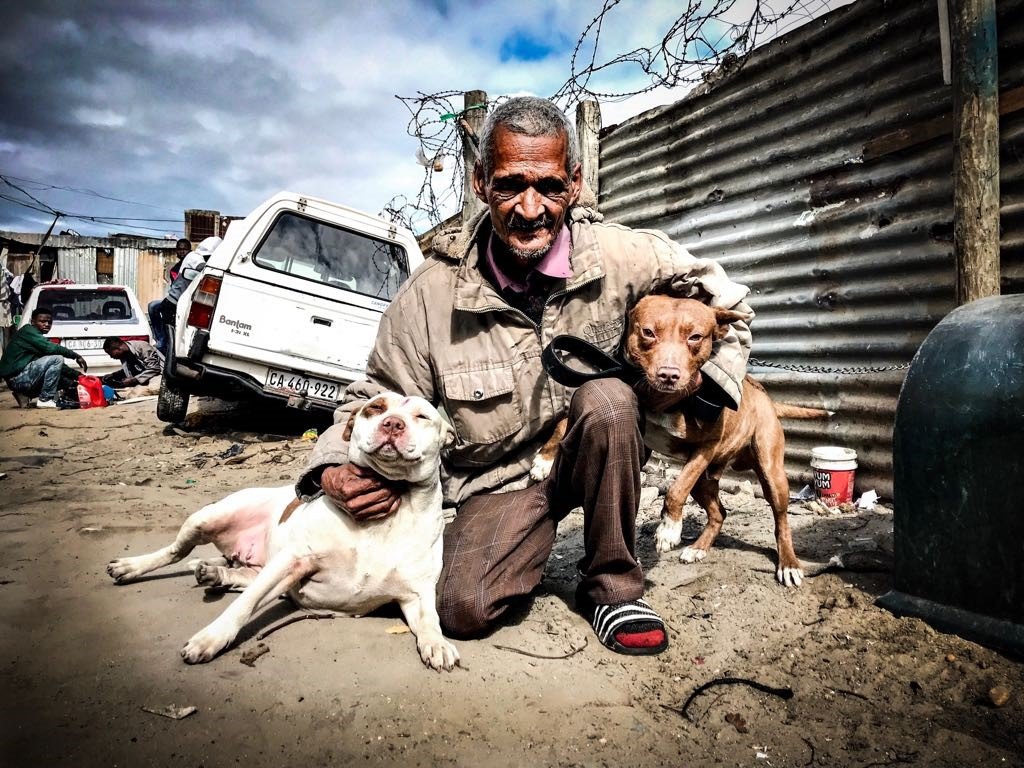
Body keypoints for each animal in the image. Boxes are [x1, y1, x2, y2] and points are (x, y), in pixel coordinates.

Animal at [105, 393, 458, 671]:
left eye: (422, 416)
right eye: (375, 407)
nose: (393, 423)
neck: (387, 511)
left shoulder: (417, 593)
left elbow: (431, 620)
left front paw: (437, 643)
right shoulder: (293, 561)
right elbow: (244, 605)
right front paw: (211, 638)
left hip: (256, 563)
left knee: (238, 574)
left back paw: (213, 573)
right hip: (207, 519)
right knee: (176, 552)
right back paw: (131, 566)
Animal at [532, 294, 827, 589]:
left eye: (695, 337)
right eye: (648, 332)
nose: (668, 375)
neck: (661, 399)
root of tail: (766, 398)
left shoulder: (707, 447)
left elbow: (676, 488)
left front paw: (669, 529)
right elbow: (562, 422)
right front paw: (543, 460)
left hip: (770, 472)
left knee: (781, 519)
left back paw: (789, 564)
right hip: (705, 481)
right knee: (719, 513)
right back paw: (698, 548)